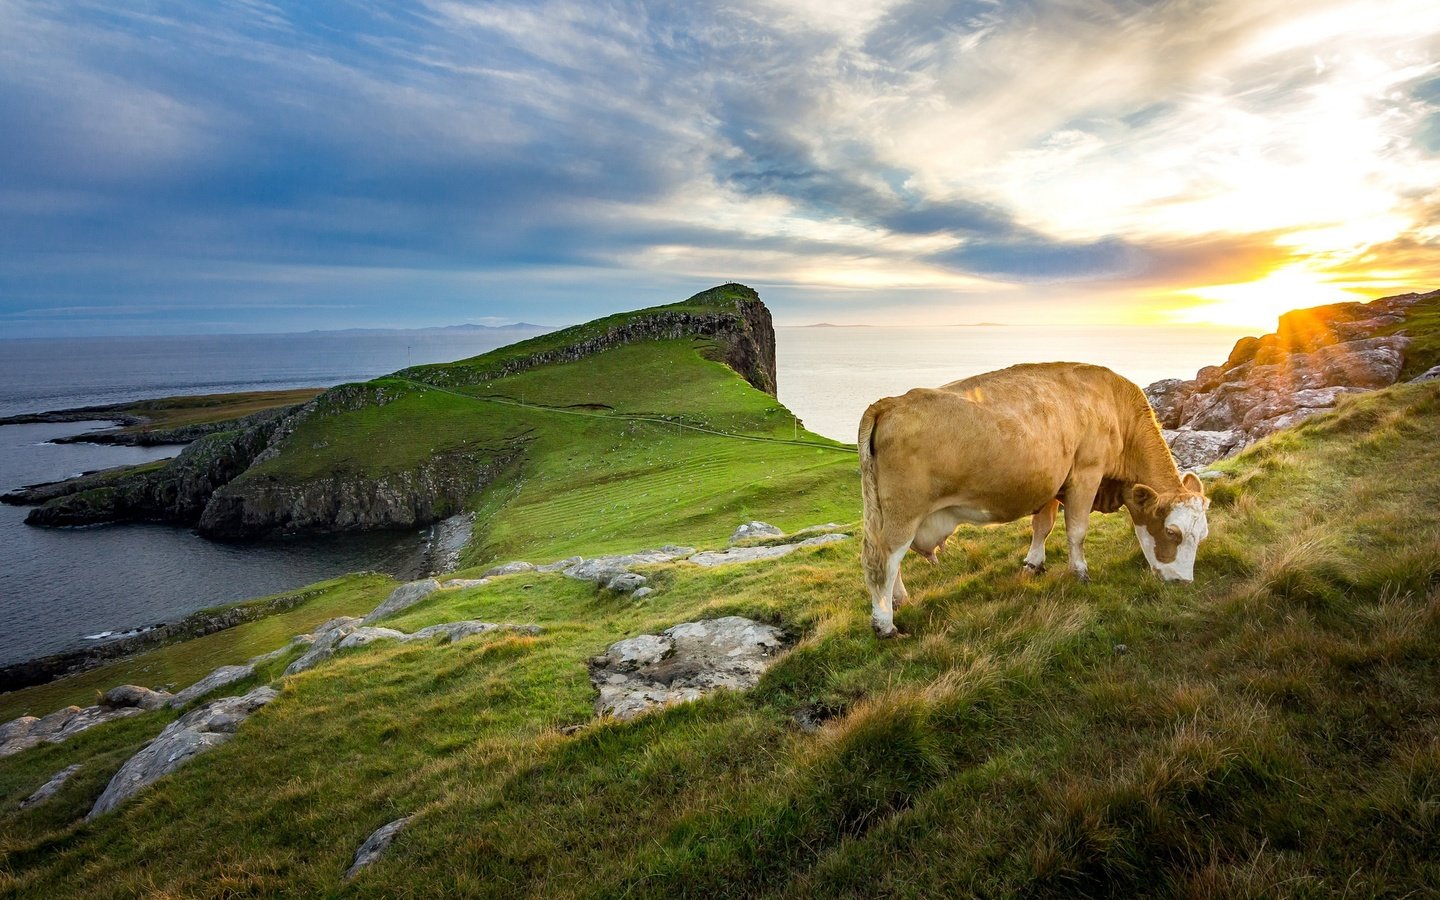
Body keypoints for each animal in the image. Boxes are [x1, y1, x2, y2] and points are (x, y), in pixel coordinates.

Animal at [858, 361, 1209, 636]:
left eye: (1202, 534)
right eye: (1171, 532)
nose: (1184, 583)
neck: (1114, 408)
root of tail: (888, 403)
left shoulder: (1053, 483)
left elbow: (1043, 526)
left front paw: (1033, 564)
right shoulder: (1086, 474)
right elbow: (1077, 531)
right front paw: (1080, 573)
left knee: (892, 561)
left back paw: (899, 600)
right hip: (903, 512)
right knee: (883, 560)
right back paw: (885, 624)